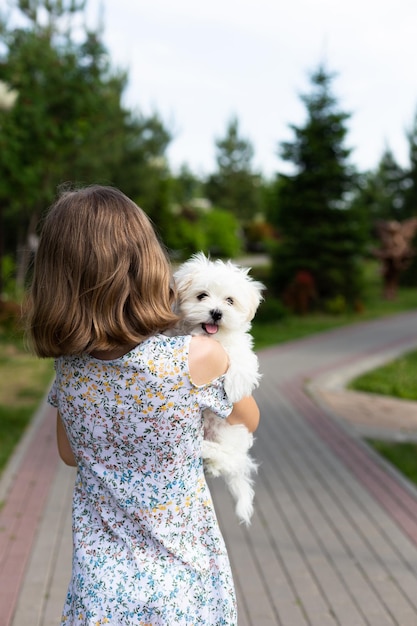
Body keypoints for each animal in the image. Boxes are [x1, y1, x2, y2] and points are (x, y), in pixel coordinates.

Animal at [171, 252, 264, 520]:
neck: (211, 338)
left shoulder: (239, 348)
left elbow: (241, 361)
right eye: (202, 295)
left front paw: (233, 388)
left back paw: (207, 451)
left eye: (230, 301)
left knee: (230, 459)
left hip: (229, 431)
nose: (216, 312)